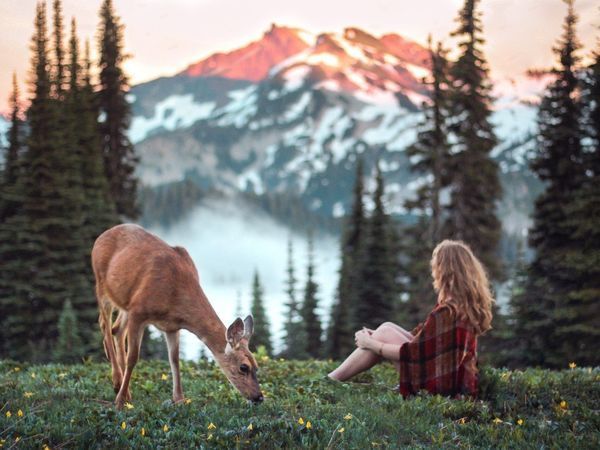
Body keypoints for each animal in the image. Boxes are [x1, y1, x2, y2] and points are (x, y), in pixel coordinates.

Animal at [91, 223, 262, 410]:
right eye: (243, 367)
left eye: (257, 366)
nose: (259, 397)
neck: (175, 296)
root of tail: (102, 236)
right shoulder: (138, 311)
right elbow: (133, 358)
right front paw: (120, 401)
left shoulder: (171, 326)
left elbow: (174, 360)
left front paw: (179, 399)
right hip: (102, 285)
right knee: (104, 324)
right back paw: (117, 383)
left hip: (125, 302)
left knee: (117, 330)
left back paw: (125, 388)